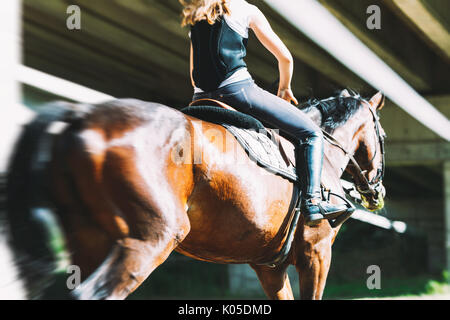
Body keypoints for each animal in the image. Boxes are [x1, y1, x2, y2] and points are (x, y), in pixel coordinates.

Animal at [4, 89, 386, 300]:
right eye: (383, 135)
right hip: (151, 239)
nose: (378, 191)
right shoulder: (316, 253)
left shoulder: (269, 266)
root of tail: (81, 114)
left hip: (90, 242)